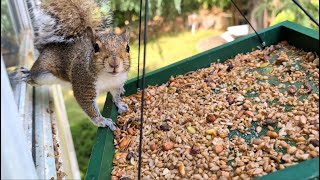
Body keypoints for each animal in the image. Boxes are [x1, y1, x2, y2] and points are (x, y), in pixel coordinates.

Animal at [20, 0, 131, 130]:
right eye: (96, 47)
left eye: (127, 48)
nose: (114, 63)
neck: (108, 77)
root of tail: (47, 47)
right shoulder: (83, 85)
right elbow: (89, 108)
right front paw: (103, 121)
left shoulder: (116, 84)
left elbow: (116, 96)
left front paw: (120, 105)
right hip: (42, 72)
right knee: (35, 76)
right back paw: (27, 75)